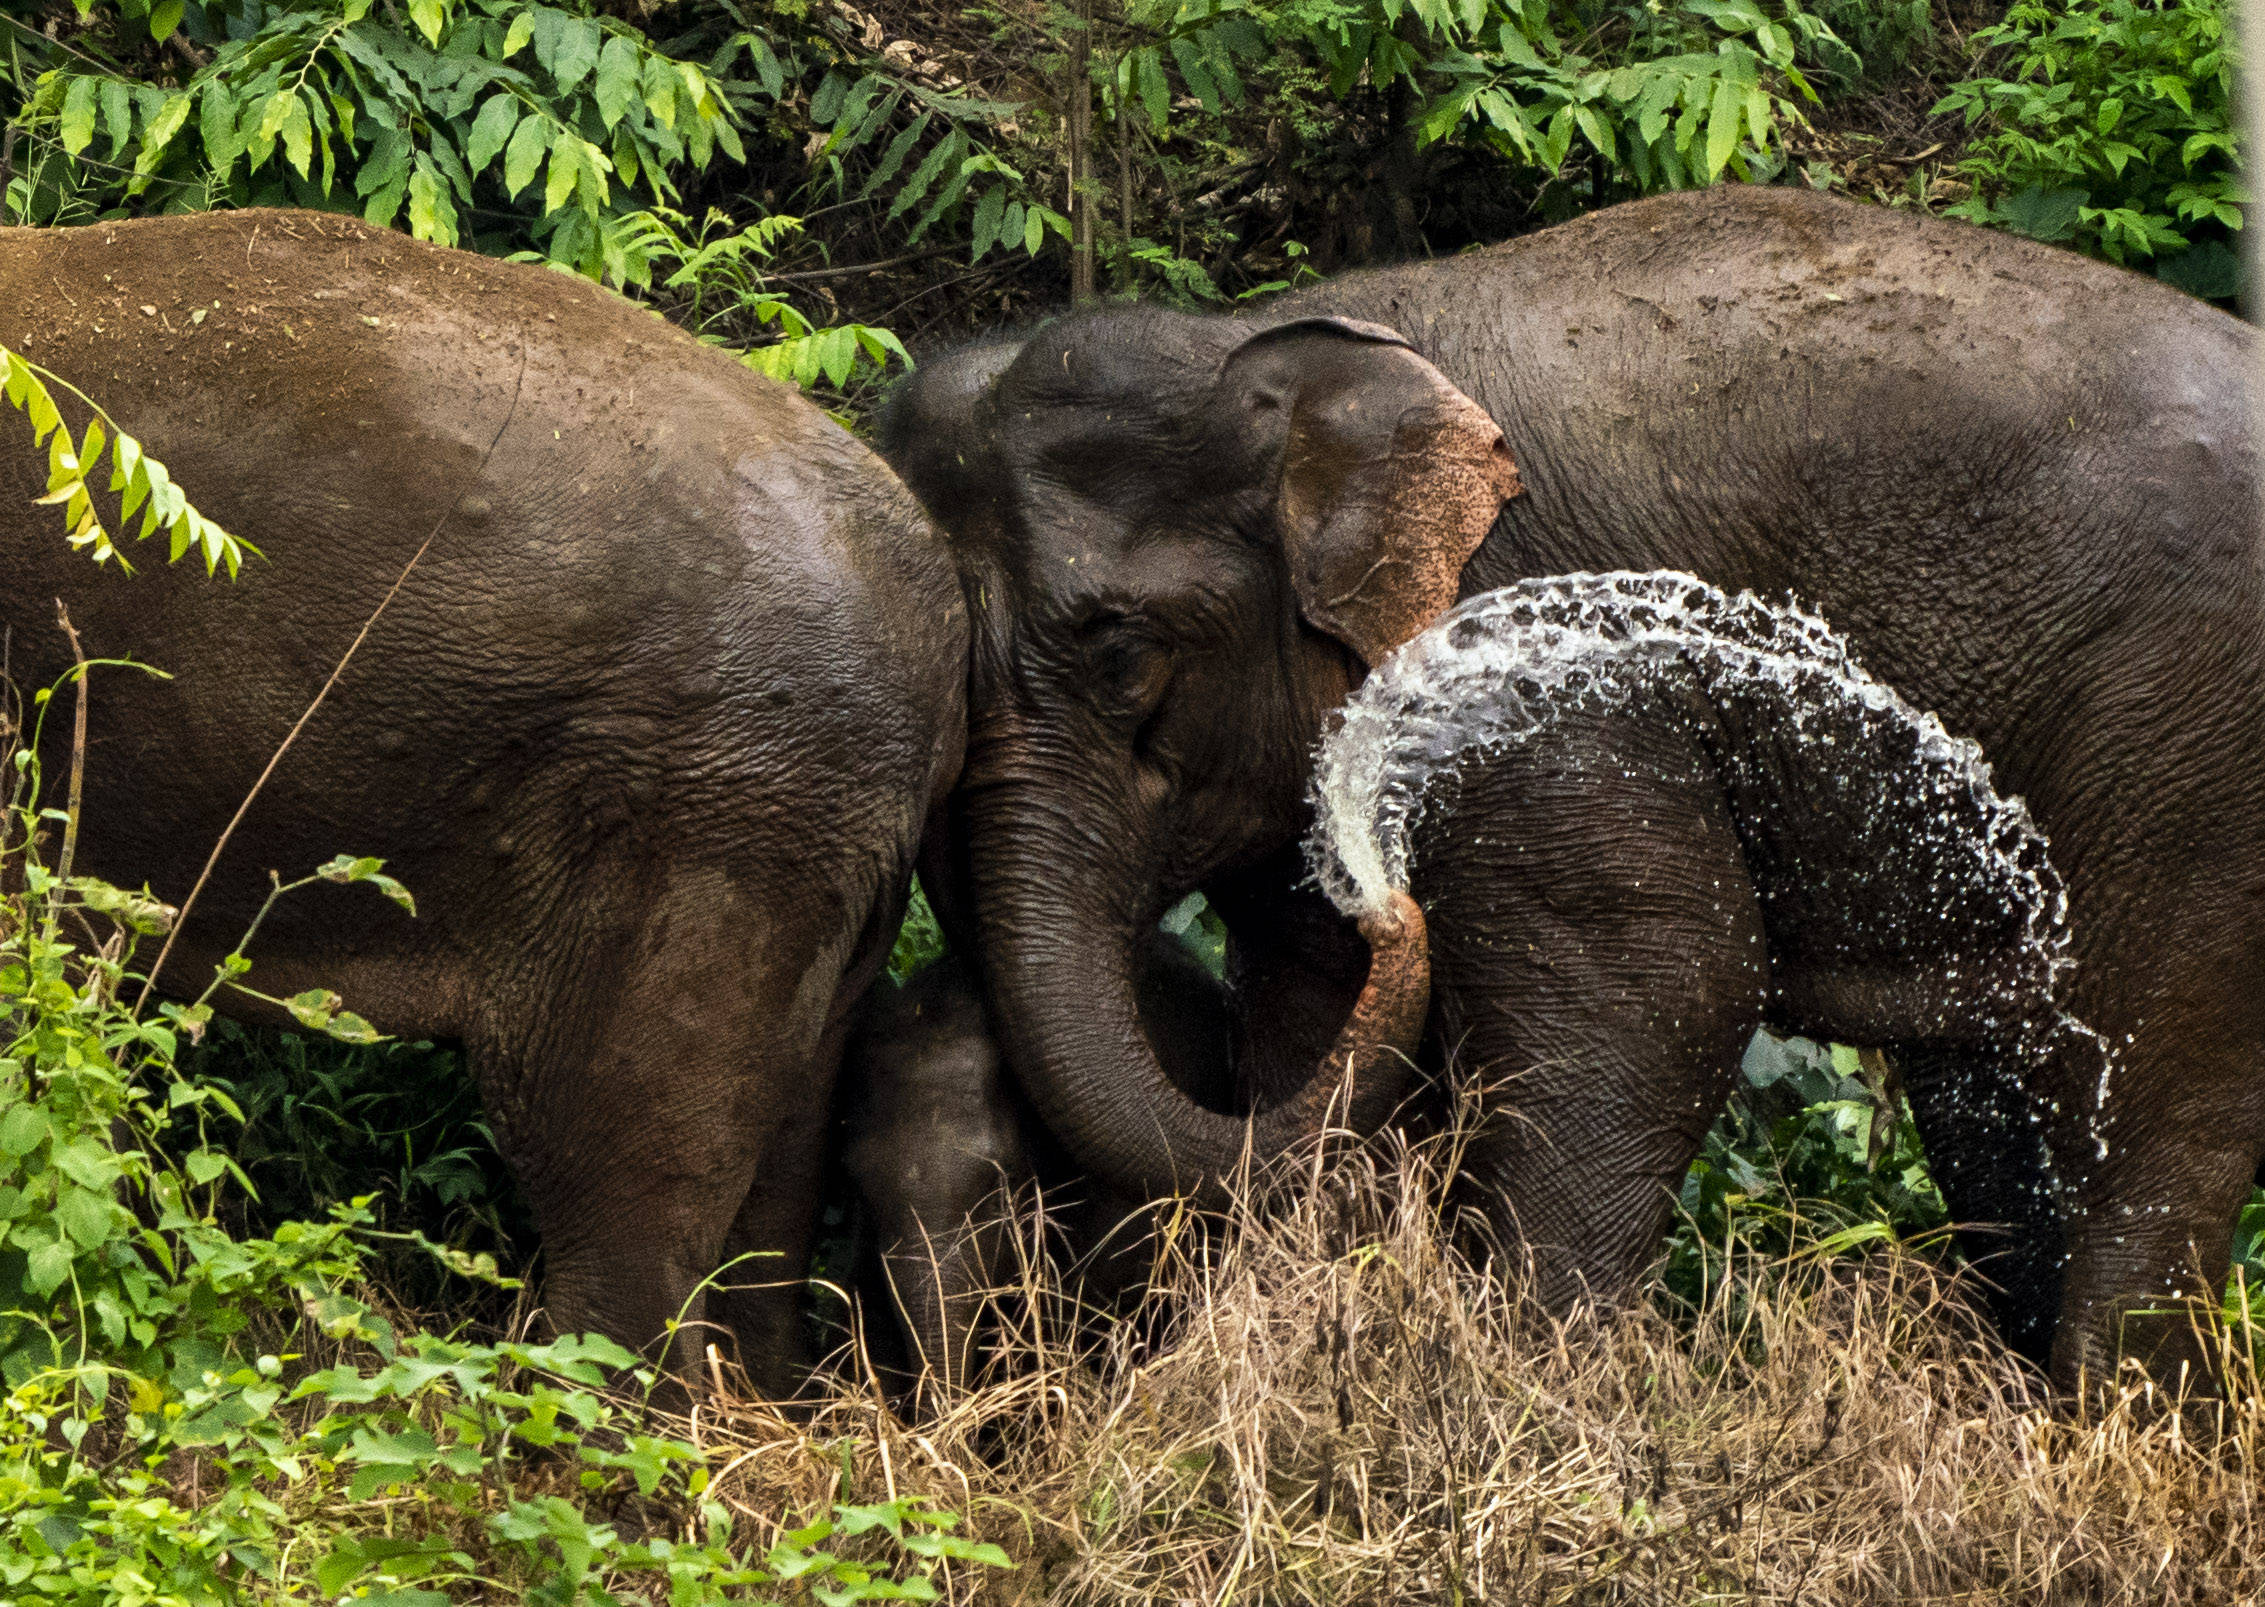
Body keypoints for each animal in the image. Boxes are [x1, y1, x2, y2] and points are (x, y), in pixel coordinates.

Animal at [878, 188, 2265, 1387]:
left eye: (1120, 652)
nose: (1390, 891)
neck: (1282, 341)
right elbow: (1316, 1005)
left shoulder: (1536, 675)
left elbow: (1660, 978)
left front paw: (1539, 1396)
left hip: (2195, 749)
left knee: (2148, 1095)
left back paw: (2109, 1431)